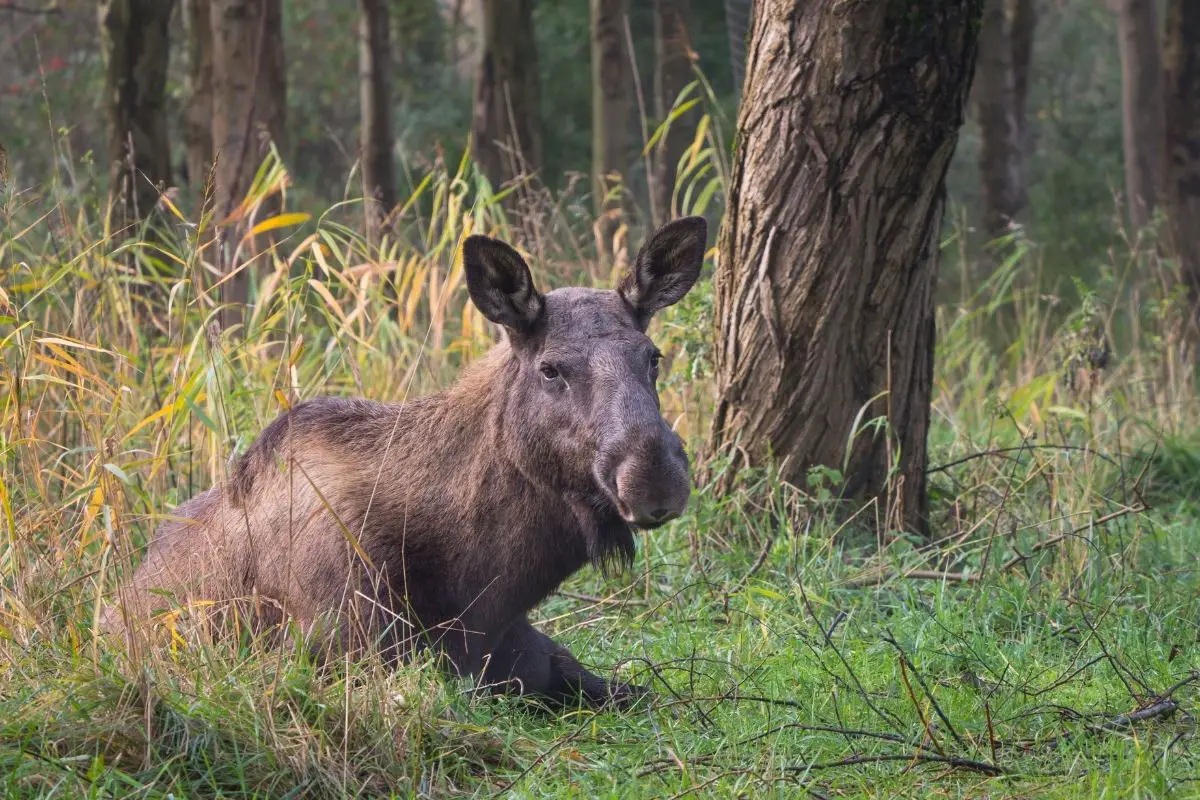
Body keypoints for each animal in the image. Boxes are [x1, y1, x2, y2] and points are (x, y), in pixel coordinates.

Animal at [103, 215, 705, 710]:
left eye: (652, 356)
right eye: (551, 368)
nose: (653, 477)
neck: (480, 591)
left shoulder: (540, 657)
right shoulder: (347, 650)